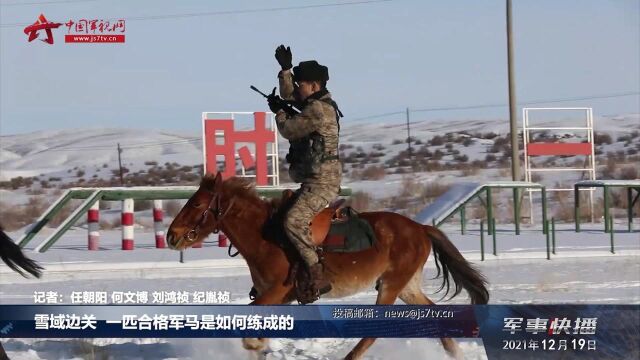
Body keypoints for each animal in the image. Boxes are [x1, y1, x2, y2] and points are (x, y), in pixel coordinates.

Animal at [168, 173, 488, 358]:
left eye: (196, 204)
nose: (172, 235)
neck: (265, 237)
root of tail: (420, 228)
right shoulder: (280, 298)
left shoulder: (277, 291)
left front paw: (255, 345)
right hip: (406, 286)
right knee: (434, 314)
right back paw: (456, 353)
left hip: (390, 286)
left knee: (373, 333)